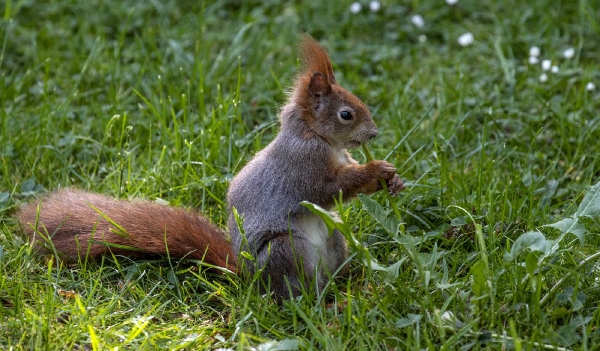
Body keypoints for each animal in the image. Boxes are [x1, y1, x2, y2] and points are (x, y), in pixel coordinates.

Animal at [16, 35, 406, 300]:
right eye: (346, 114)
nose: (374, 133)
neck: (316, 138)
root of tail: (247, 277)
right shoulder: (302, 166)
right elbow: (329, 189)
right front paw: (377, 170)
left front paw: (394, 180)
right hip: (286, 251)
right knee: (296, 293)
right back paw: (325, 303)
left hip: (334, 236)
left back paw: (353, 285)